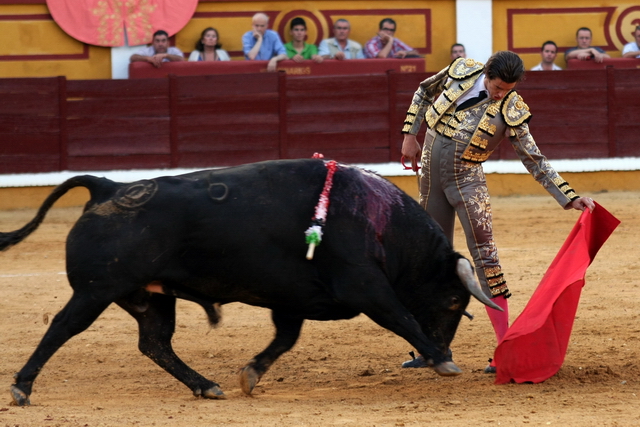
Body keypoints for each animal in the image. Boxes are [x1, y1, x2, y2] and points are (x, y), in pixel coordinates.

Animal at [1, 159, 500, 406]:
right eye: (453, 302)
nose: (446, 346)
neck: (382, 225)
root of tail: (108, 188)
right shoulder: (365, 287)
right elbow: (400, 316)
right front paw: (442, 360)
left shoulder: (293, 300)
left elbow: (284, 339)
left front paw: (250, 375)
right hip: (95, 291)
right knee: (62, 328)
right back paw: (22, 388)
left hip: (148, 298)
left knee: (155, 343)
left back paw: (206, 386)